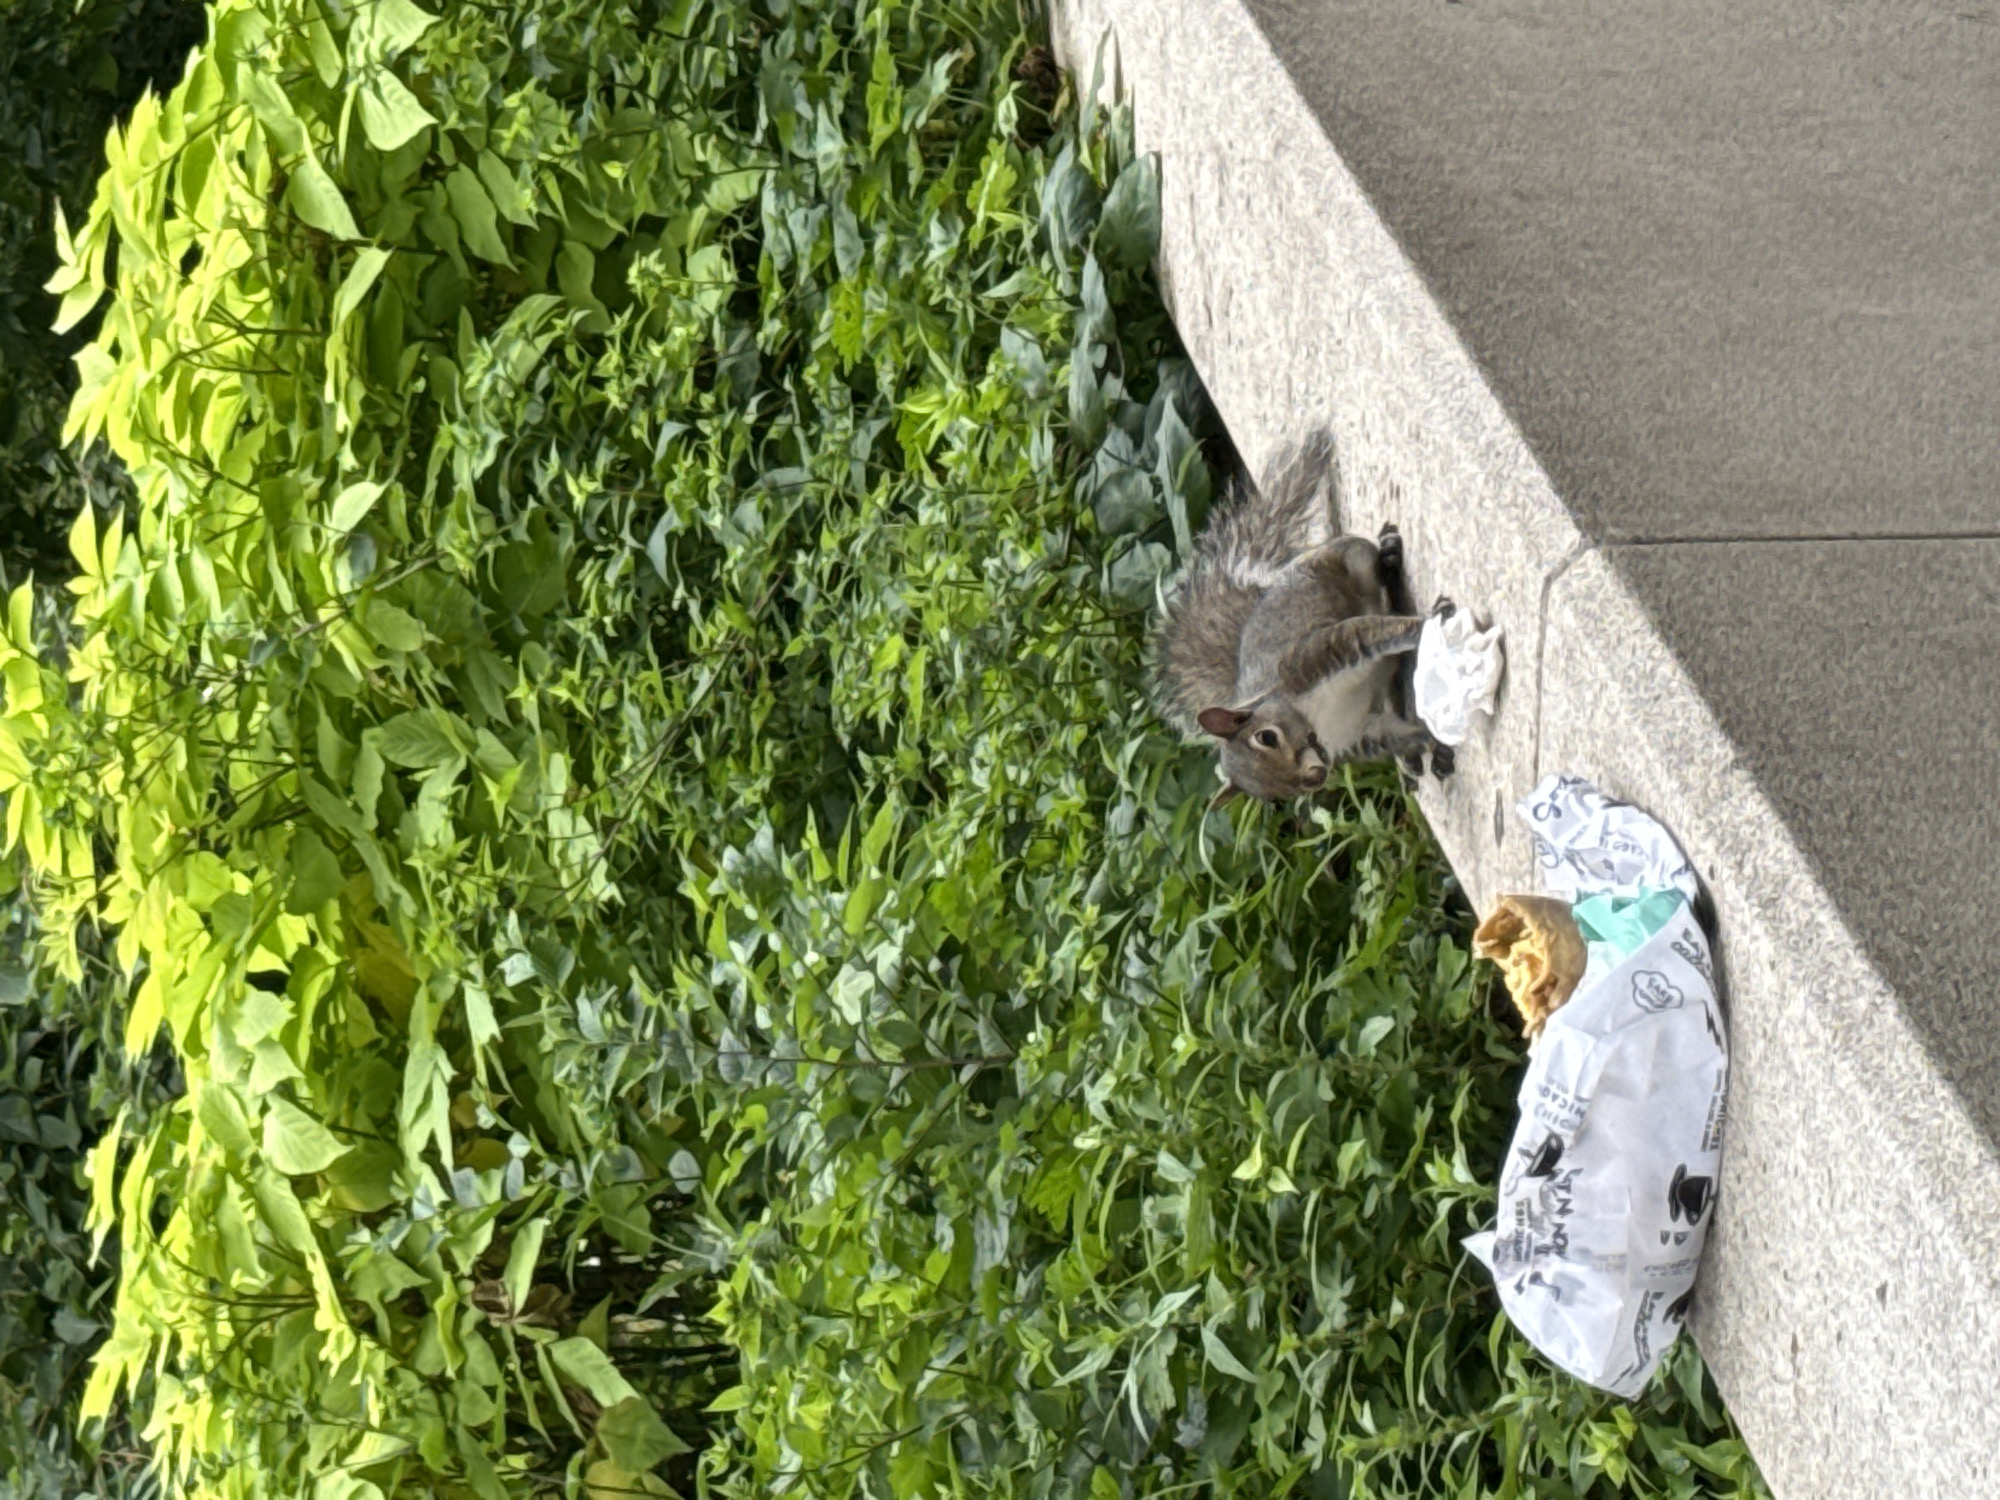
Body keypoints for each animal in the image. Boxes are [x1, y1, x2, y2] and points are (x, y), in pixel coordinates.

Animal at [1155, 430, 1453, 803]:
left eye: (1266, 737)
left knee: (1384, 595)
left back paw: (1391, 562)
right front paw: (1427, 740)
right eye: (1273, 797)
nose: (1315, 776)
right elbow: (1400, 734)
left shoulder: (1319, 654)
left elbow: (1380, 632)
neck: (1316, 717)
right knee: (1400, 684)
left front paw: (1428, 625)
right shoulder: (1362, 732)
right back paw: (1415, 755)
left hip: (1352, 560)